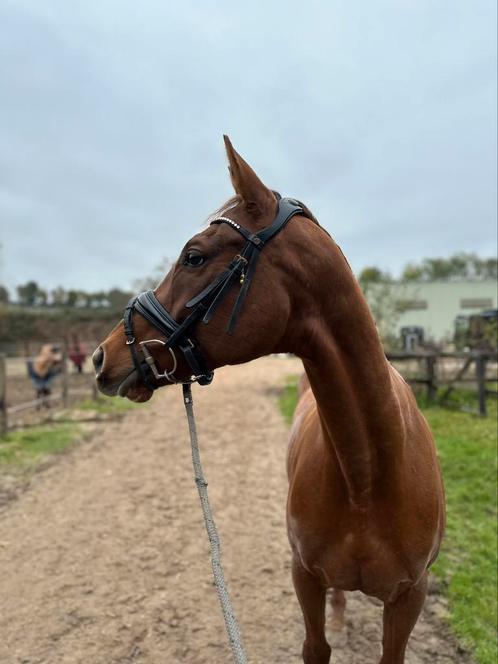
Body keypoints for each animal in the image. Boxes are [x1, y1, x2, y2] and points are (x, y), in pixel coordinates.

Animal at [92, 136, 444, 664]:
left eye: (194, 257)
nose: (101, 356)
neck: (368, 479)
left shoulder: (410, 596)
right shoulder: (305, 576)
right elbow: (316, 646)